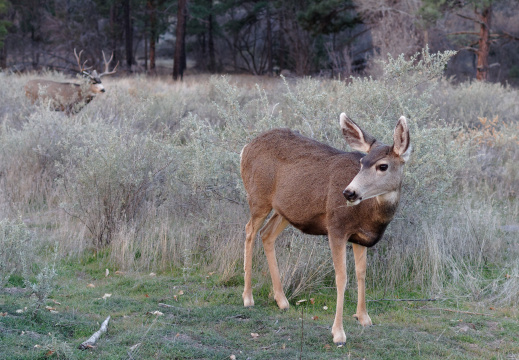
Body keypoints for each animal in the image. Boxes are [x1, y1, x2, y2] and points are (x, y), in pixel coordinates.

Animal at [242, 114, 412, 344]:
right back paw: (248, 297)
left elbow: (361, 273)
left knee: (266, 233)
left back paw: (282, 300)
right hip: (258, 197)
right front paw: (338, 333)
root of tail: (246, 147)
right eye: (362, 162)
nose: (349, 192)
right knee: (249, 231)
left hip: (286, 209)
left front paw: (364, 318)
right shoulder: (336, 227)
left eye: (383, 166)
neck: (369, 215)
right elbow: (342, 277)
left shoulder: (360, 237)